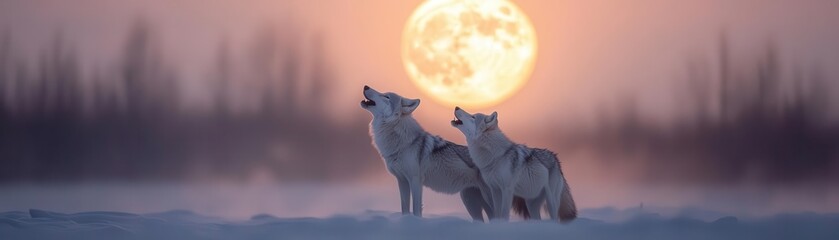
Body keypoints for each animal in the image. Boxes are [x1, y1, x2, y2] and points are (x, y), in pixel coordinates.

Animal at [360, 86, 492, 221]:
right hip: (470, 203)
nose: (366, 86)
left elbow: (416, 209)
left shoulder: (416, 180)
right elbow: (404, 208)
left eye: (386, 96)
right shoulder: (402, 180)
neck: (404, 143)